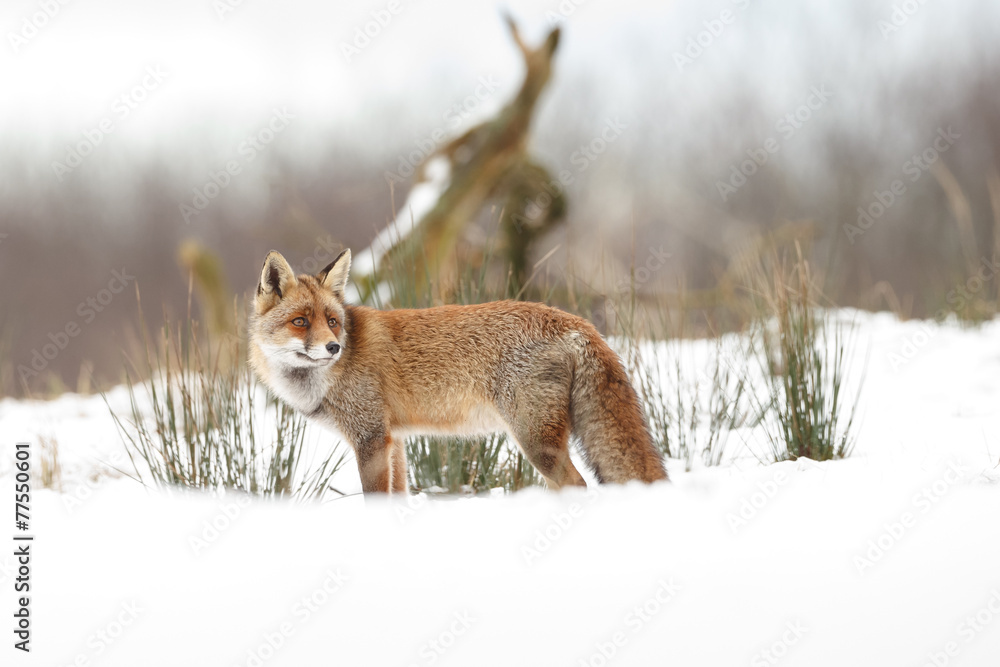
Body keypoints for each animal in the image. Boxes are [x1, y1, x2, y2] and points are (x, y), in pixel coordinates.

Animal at [248, 248, 667, 495]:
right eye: (301, 322)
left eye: (332, 322)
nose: (333, 347)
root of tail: (574, 320)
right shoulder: (393, 442)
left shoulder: (369, 440)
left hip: (535, 442)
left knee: (577, 484)